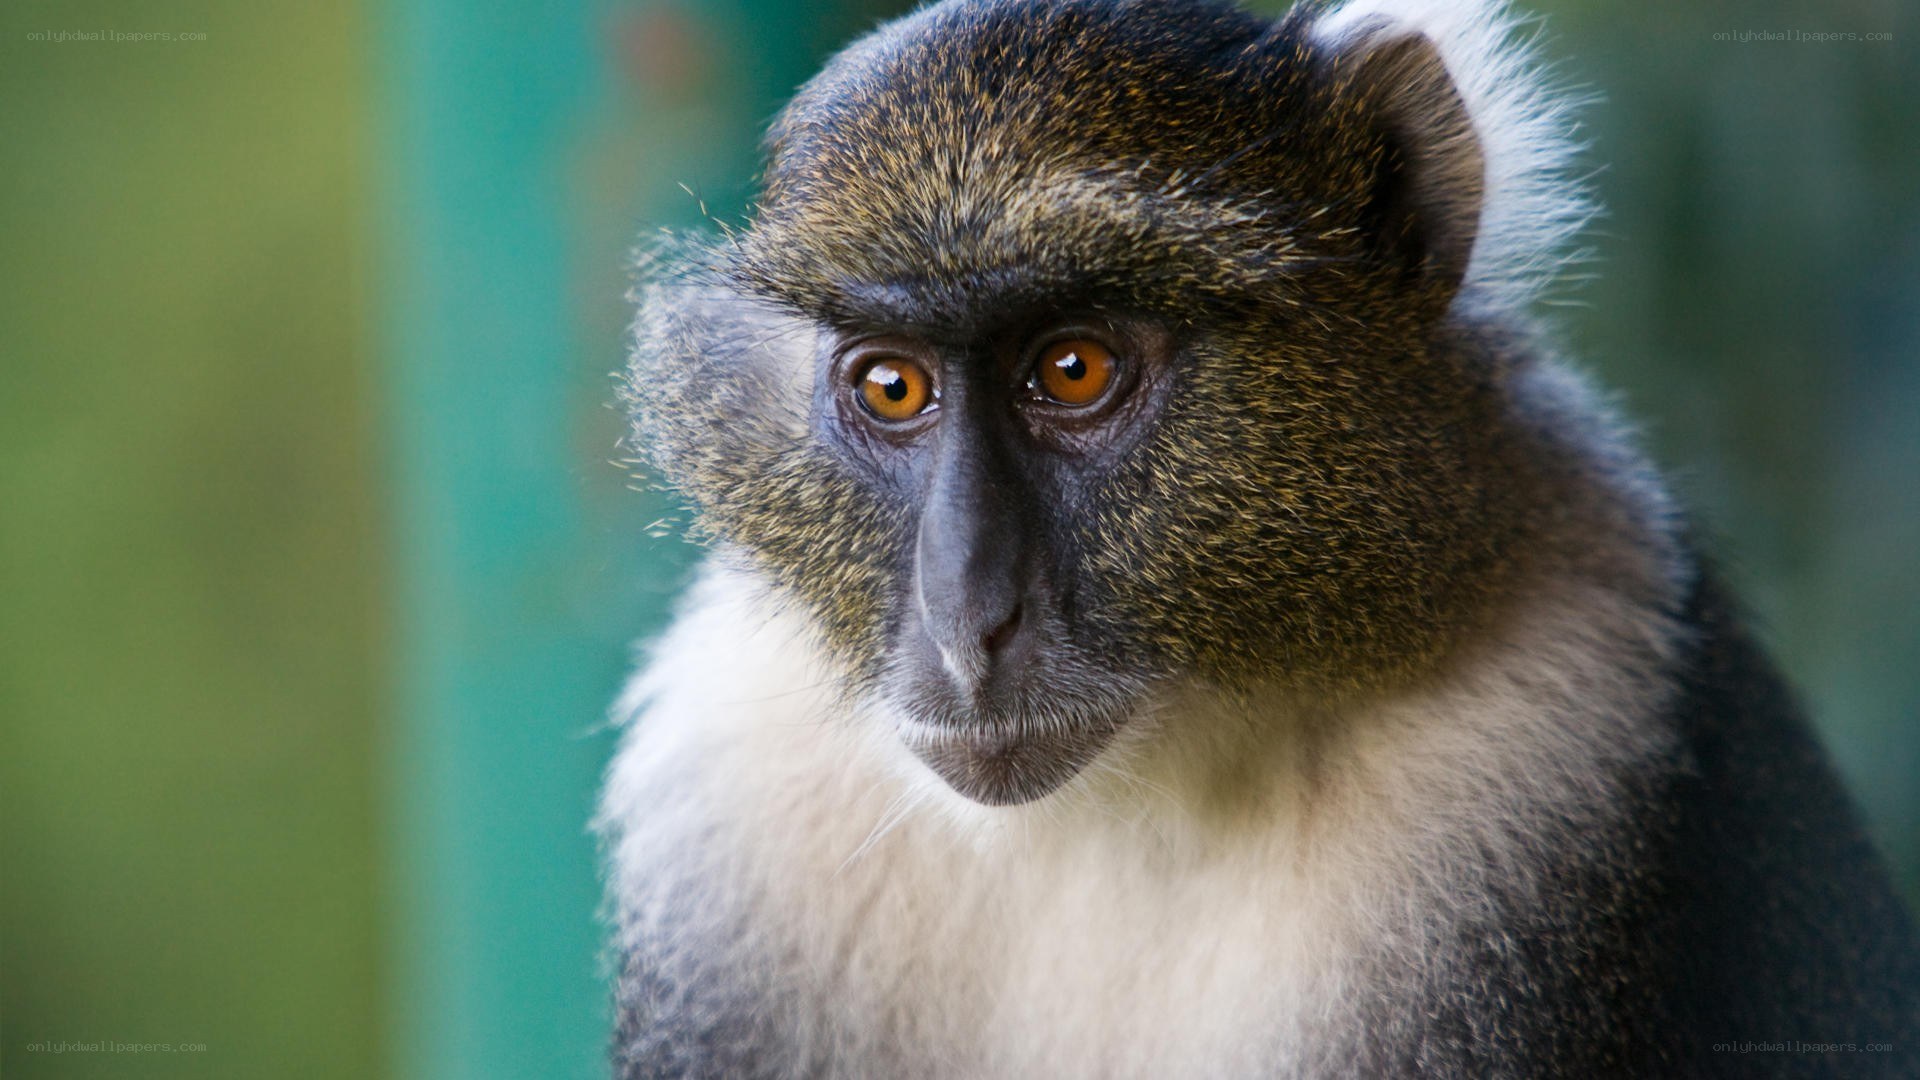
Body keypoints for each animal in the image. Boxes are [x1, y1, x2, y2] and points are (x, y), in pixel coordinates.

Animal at [598, 0, 1920, 1075]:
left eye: (1072, 369)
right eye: (891, 388)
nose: (969, 622)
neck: (1129, 806)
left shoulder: (1561, 754)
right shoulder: (722, 798)